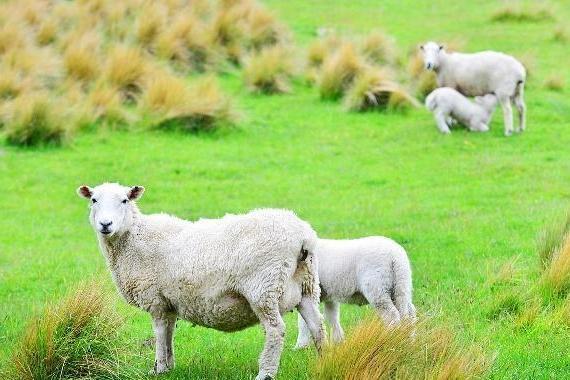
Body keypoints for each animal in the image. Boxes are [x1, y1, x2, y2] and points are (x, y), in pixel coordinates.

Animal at [76, 183, 324, 380]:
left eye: (125, 200)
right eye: (94, 199)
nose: (105, 224)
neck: (134, 238)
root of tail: (304, 236)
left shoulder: (155, 299)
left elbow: (159, 333)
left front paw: (158, 368)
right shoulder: (169, 301)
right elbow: (169, 333)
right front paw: (169, 366)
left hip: (264, 287)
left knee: (276, 330)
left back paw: (265, 373)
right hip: (307, 286)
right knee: (317, 326)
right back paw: (325, 360)